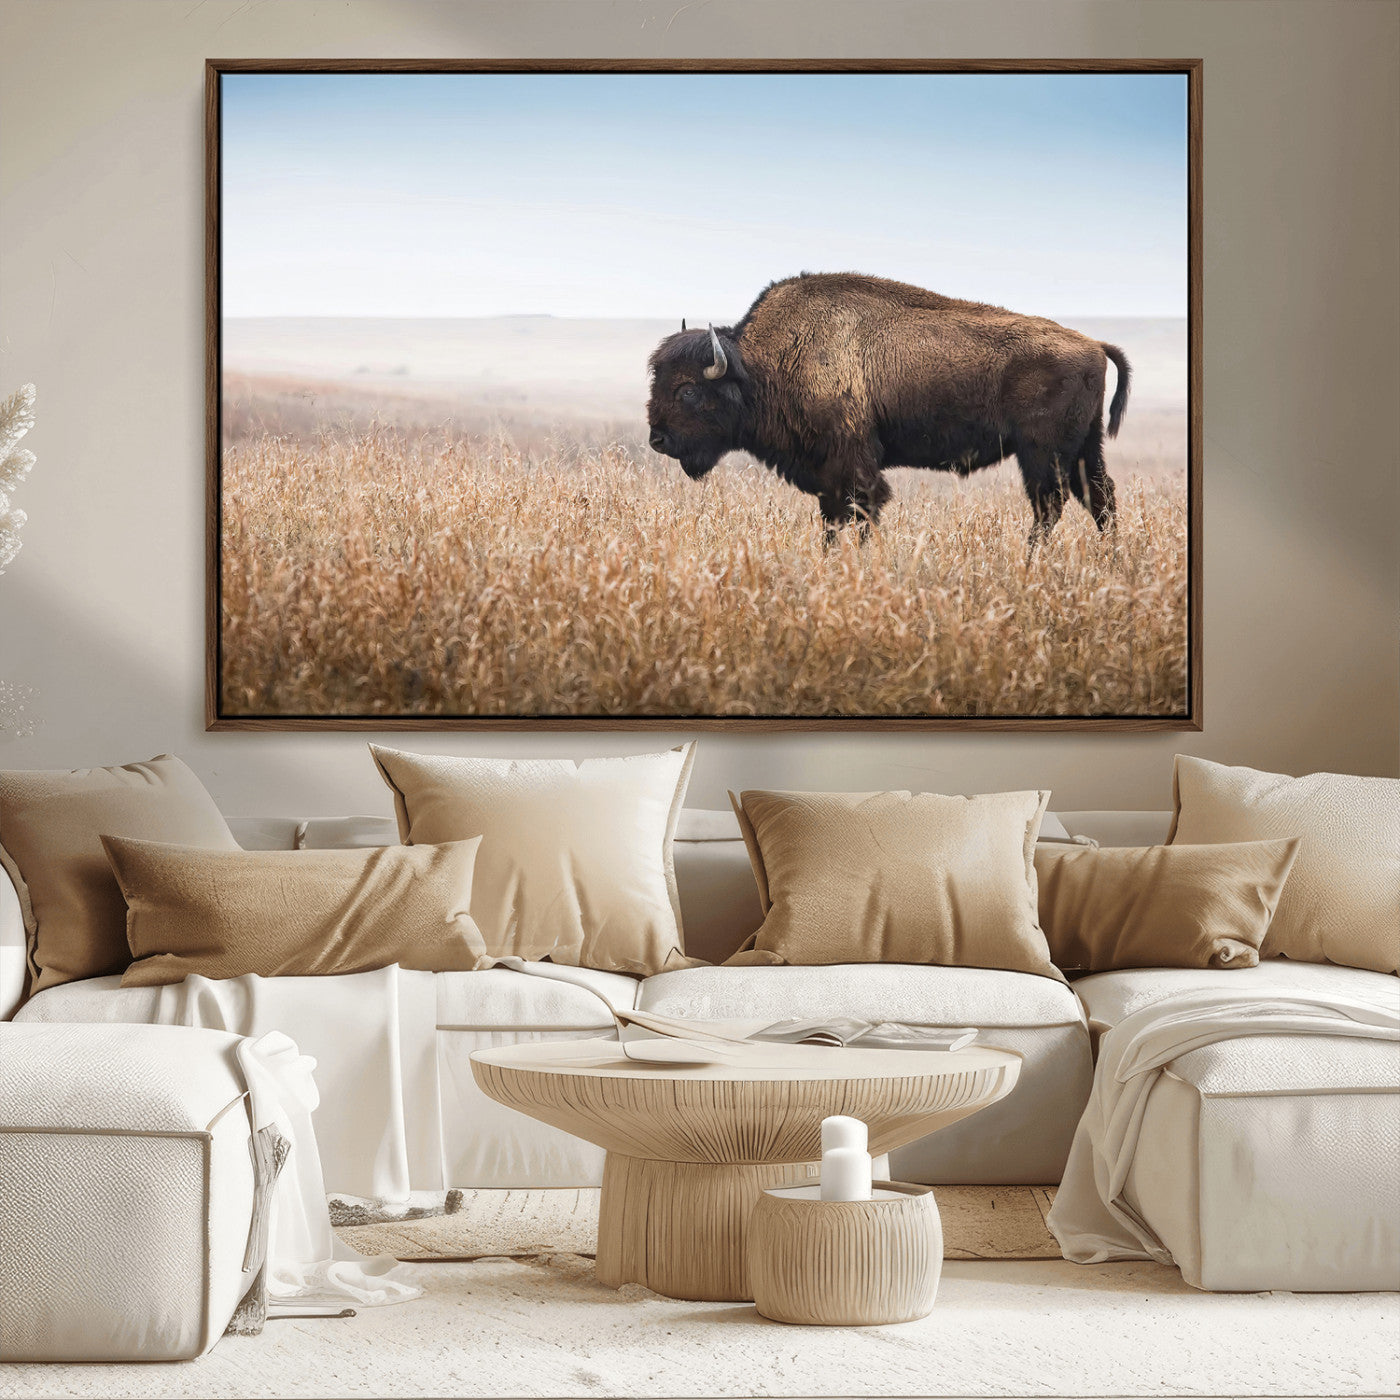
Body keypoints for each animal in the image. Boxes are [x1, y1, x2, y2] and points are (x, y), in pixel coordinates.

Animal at [646, 272, 1131, 545]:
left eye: (688, 390)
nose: (657, 439)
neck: (761, 365)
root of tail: (1093, 344)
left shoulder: (852, 465)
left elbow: (861, 512)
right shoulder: (827, 475)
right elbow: (833, 520)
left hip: (1042, 453)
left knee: (1051, 505)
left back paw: (1031, 562)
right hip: (1084, 449)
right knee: (1099, 499)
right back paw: (1110, 561)